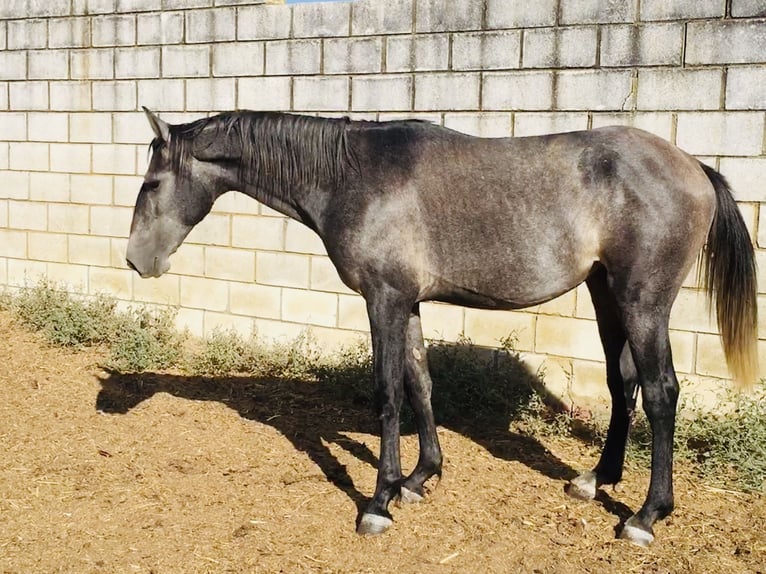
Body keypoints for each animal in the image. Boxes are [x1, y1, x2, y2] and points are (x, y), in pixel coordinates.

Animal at [127, 107, 760, 548]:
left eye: (152, 185)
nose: (136, 261)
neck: (352, 175)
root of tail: (693, 166)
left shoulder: (382, 300)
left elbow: (387, 394)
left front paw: (378, 502)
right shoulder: (406, 302)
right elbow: (421, 384)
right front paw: (419, 478)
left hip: (643, 302)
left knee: (660, 393)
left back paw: (646, 516)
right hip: (606, 293)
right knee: (621, 383)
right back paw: (596, 480)